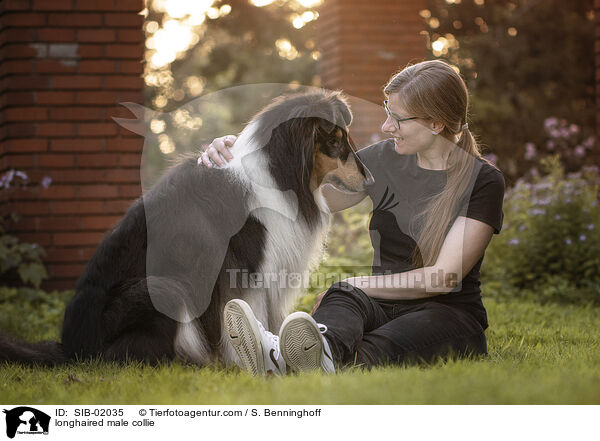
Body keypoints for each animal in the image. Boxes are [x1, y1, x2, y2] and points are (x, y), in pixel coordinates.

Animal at [0, 88, 372, 364]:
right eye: (335, 141)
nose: (370, 180)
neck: (279, 170)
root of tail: (71, 349)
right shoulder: (247, 268)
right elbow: (250, 313)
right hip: (162, 289)